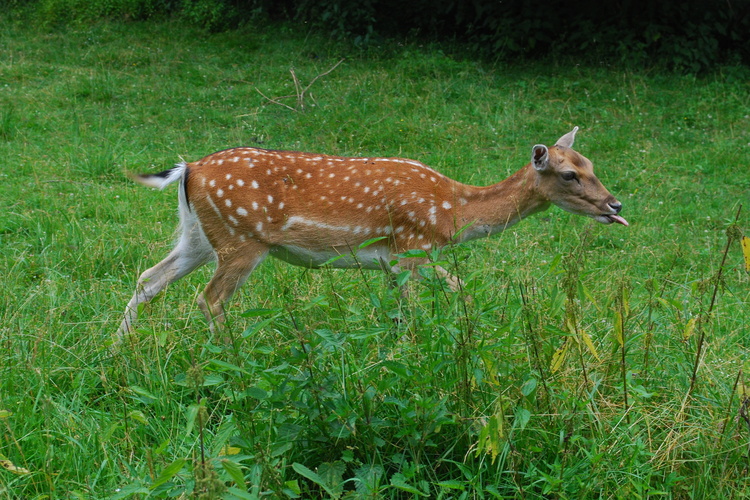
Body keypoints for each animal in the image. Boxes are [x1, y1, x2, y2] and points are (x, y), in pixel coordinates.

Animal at [117, 127, 628, 342]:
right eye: (569, 174)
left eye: (592, 165)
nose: (615, 206)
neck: (454, 213)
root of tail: (189, 168)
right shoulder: (411, 248)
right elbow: (423, 308)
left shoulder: (400, 258)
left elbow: (445, 295)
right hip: (243, 239)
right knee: (210, 299)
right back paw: (234, 359)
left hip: (200, 236)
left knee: (149, 277)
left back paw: (119, 350)